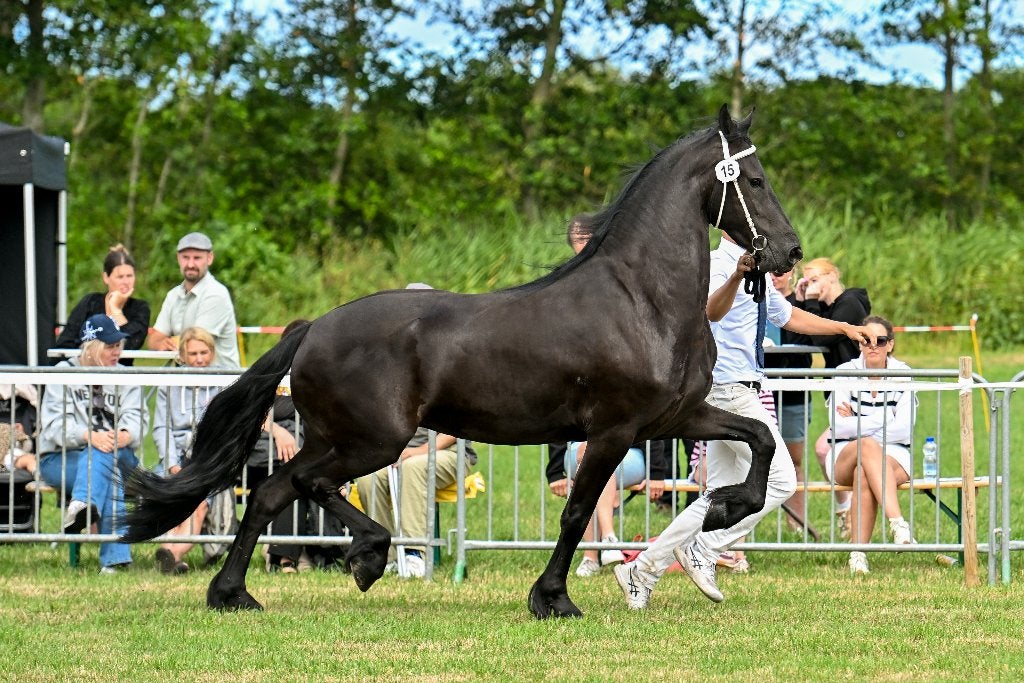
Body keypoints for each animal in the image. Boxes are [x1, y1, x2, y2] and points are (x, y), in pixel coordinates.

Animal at [122, 105, 803, 619]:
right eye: (756, 179)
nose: (790, 251)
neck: (642, 300)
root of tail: (314, 327)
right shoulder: (614, 430)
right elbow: (577, 511)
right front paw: (552, 599)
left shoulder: (671, 417)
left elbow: (761, 438)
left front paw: (726, 505)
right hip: (372, 440)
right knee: (302, 486)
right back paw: (366, 556)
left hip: (337, 437)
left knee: (268, 492)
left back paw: (233, 594)